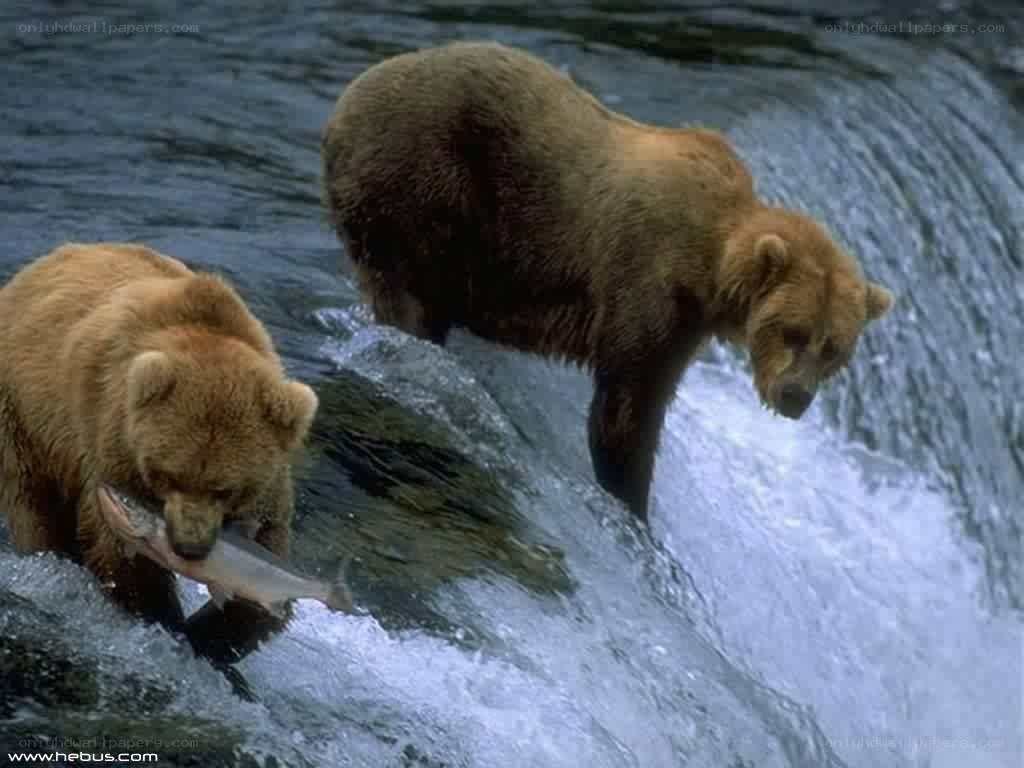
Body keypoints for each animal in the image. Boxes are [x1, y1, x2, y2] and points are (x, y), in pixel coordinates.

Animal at [0, 242, 319, 669]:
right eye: (169, 475)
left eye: (225, 489)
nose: (189, 548)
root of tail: (43, 262)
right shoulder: (113, 444)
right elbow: (120, 551)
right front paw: (165, 620)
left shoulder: (268, 486)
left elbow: (267, 551)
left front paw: (220, 631)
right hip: (26, 415)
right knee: (34, 501)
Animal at [320, 41, 893, 520]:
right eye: (792, 331)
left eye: (834, 349)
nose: (795, 397)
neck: (710, 267)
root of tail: (342, 106)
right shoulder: (645, 276)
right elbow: (627, 401)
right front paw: (630, 495)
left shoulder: (686, 323)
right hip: (421, 183)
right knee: (409, 293)